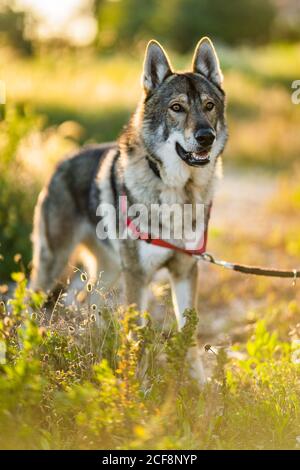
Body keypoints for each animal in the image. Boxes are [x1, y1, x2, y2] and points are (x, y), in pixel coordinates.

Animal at [31, 35, 227, 382]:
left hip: (106, 271)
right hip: (52, 263)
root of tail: (60, 162)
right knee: (25, 307)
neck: (179, 193)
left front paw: (201, 387)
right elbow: (136, 333)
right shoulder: (138, 276)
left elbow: (189, 332)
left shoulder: (185, 271)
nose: (206, 136)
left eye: (208, 105)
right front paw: (134, 385)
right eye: (177, 108)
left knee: (81, 302)